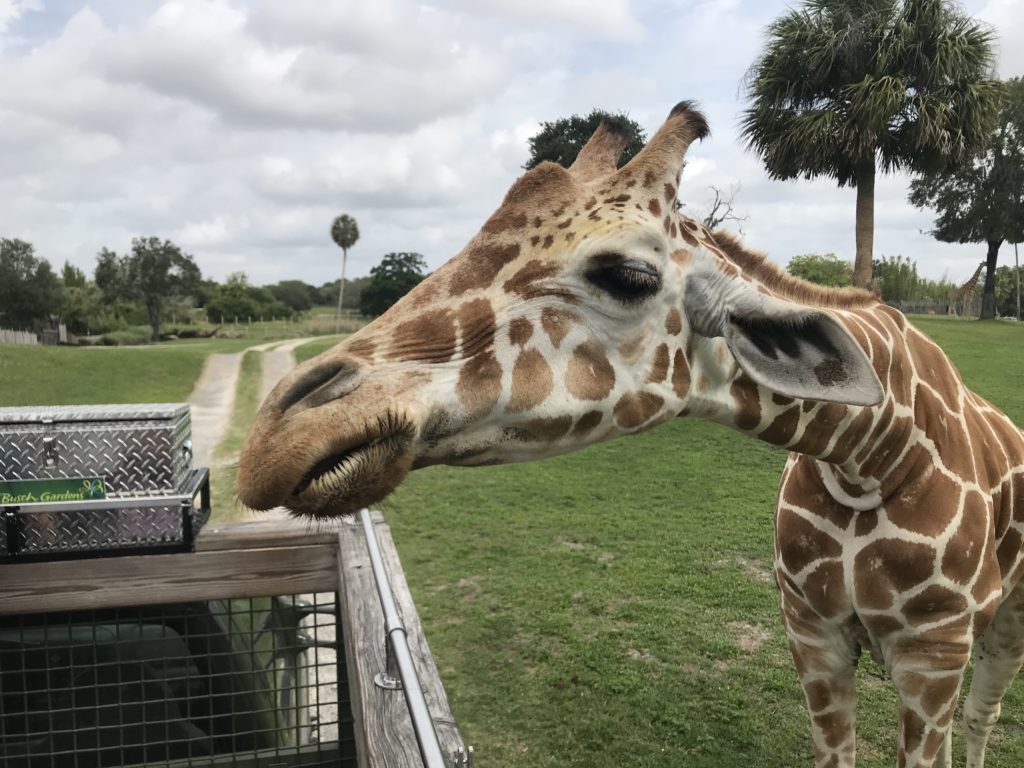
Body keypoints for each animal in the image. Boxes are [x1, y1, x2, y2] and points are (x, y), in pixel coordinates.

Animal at [235, 103, 1024, 768]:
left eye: (626, 274)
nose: (277, 435)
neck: (870, 455)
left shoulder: (933, 654)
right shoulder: (811, 631)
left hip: (1005, 624)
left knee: (982, 716)